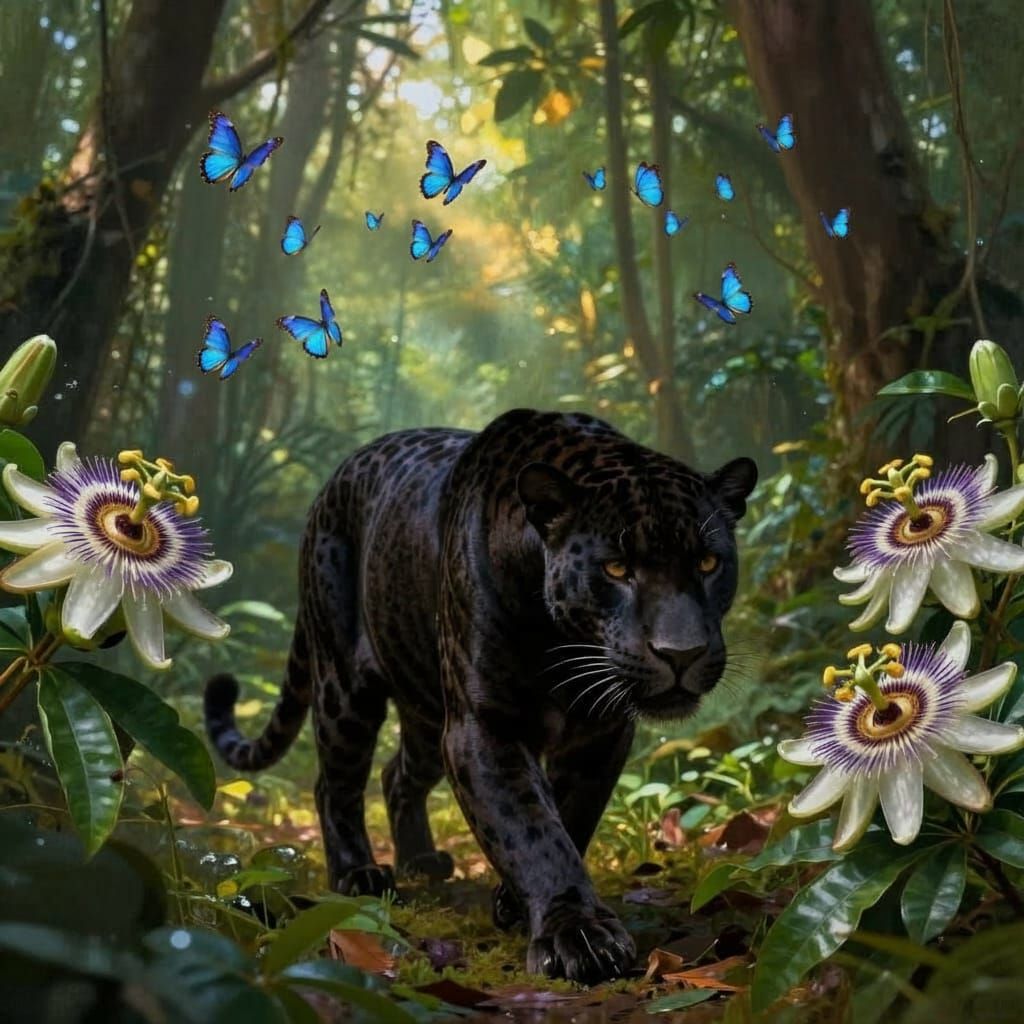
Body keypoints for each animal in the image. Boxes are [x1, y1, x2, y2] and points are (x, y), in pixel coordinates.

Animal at [204, 408, 757, 984]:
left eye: (708, 564)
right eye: (617, 568)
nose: (682, 653)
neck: (561, 640)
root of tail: (332, 484)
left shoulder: (600, 731)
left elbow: (569, 816)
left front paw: (517, 905)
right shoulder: (483, 726)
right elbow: (530, 827)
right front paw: (577, 934)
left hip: (426, 710)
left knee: (397, 774)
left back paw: (422, 862)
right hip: (345, 686)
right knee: (334, 783)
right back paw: (359, 875)